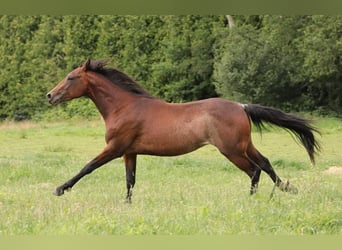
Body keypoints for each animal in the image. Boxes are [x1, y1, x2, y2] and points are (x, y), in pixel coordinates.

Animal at [46, 58, 320, 201]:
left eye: (71, 78)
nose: (49, 95)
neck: (124, 107)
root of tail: (241, 106)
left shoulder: (115, 148)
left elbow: (88, 167)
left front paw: (60, 189)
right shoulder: (129, 152)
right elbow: (130, 180)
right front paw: (127, 204)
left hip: (232, 150)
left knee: (254, 170)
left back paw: (250, 199)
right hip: (244, 145)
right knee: (265, 162)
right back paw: (286, 188)